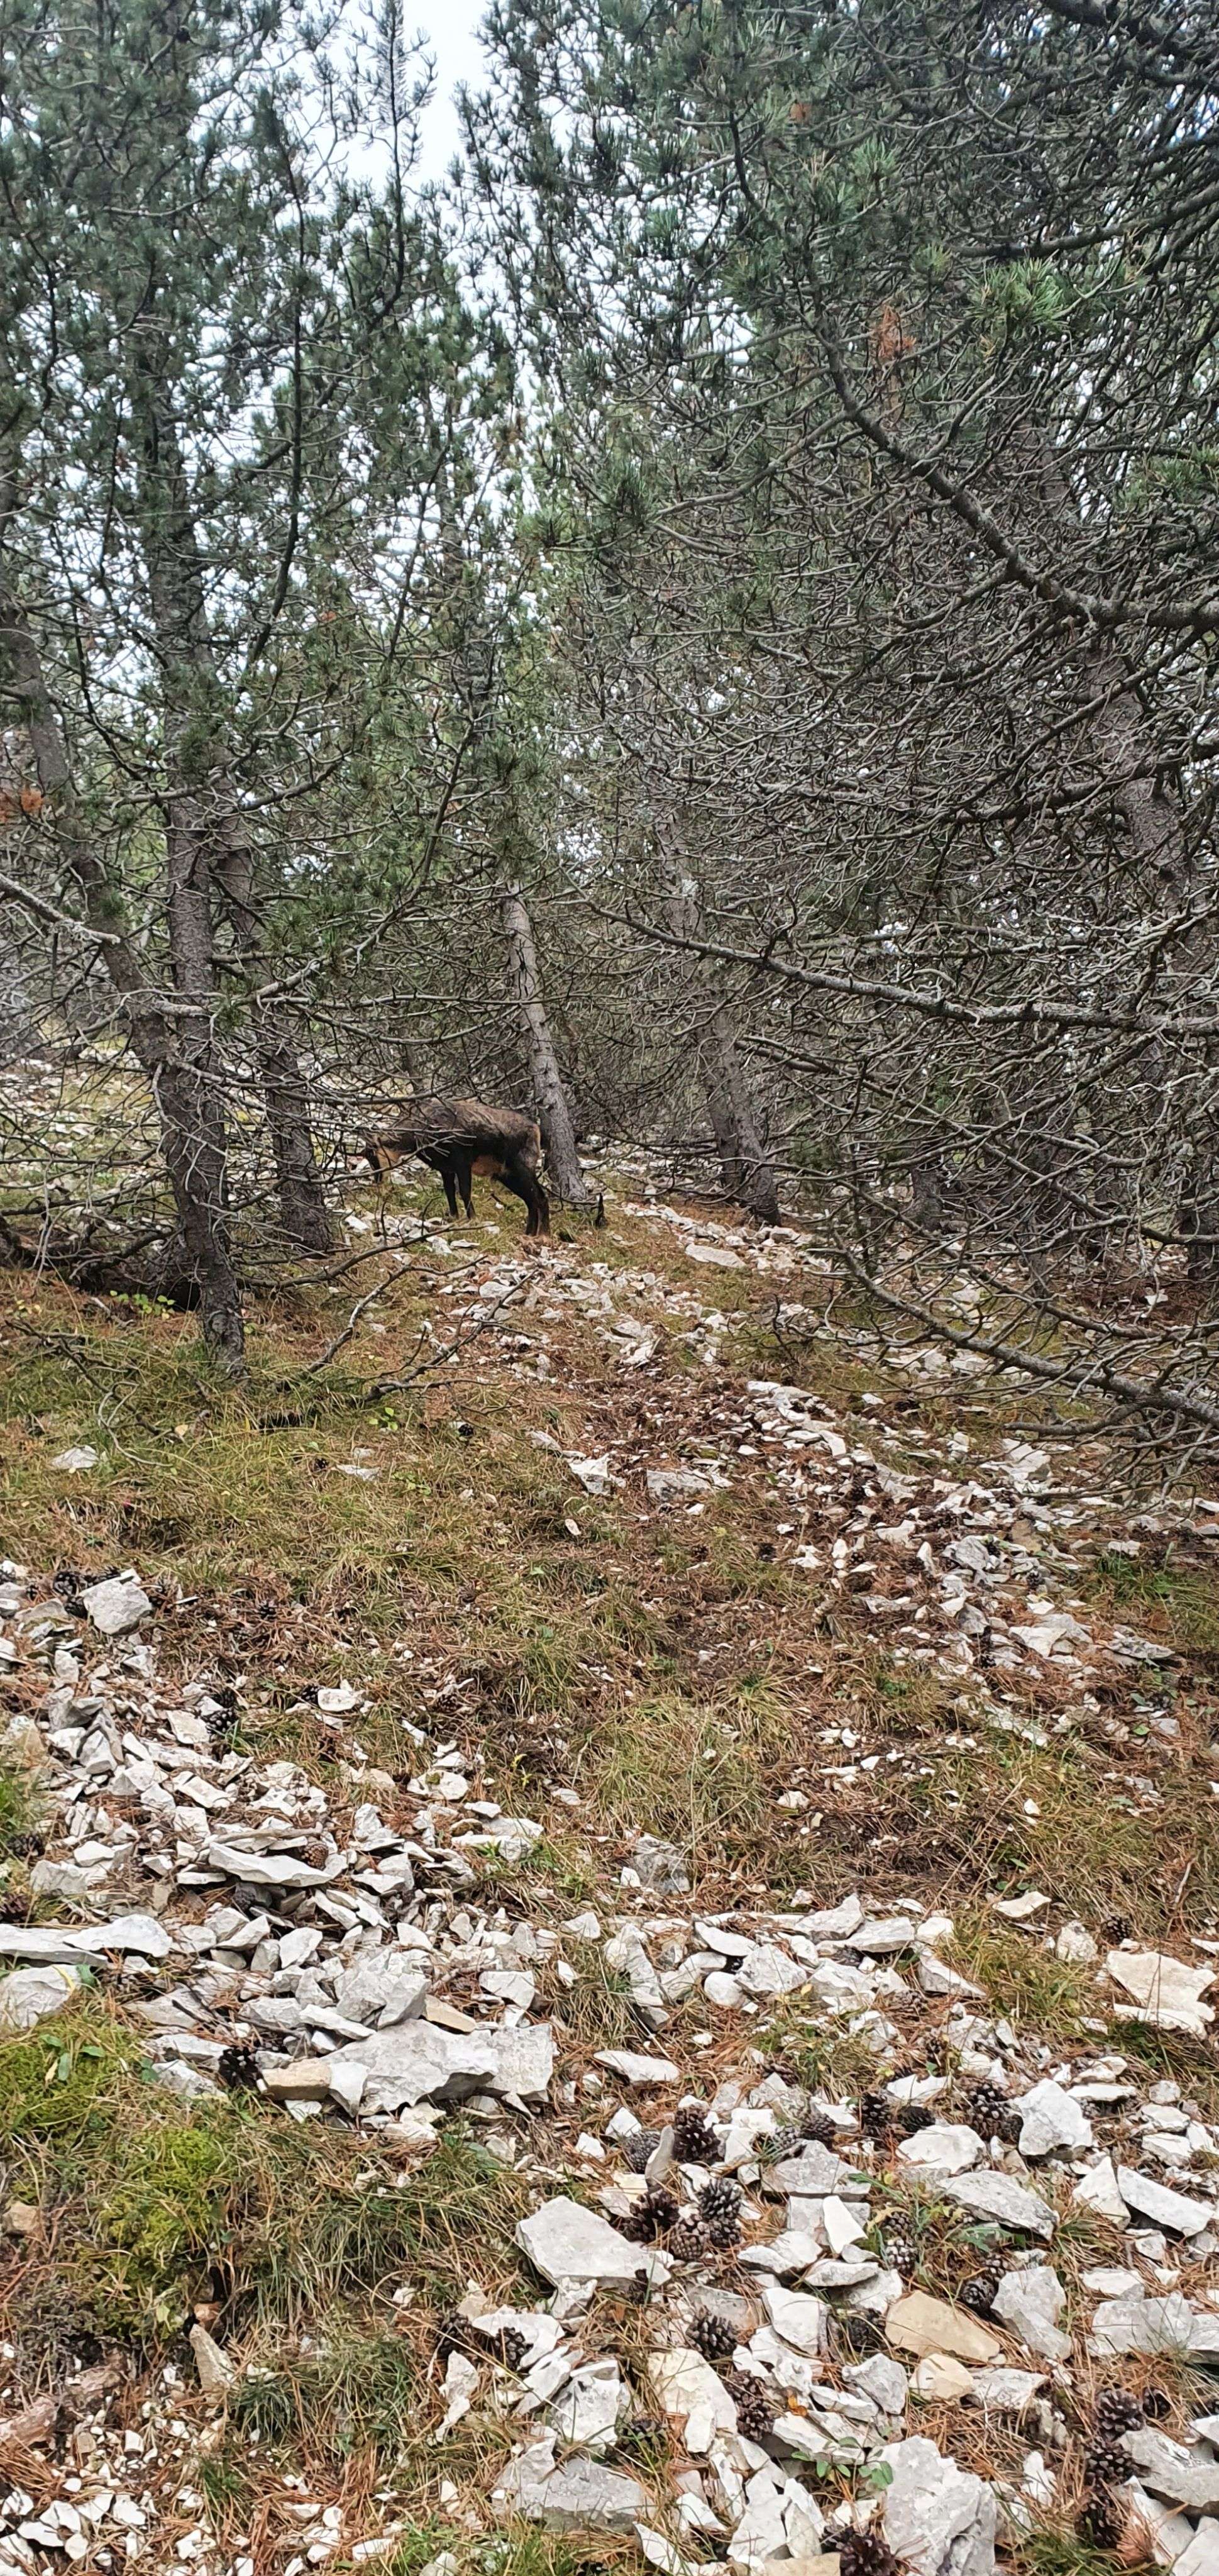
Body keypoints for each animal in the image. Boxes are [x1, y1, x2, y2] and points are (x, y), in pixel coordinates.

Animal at [362, 1094, 551, 1237]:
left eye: (372, 1155)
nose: (378, 1181)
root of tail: (536, 1130)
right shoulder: (446, 1169)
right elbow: (450, 1191)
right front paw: (453, 1216)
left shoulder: (462, 1163)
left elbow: (464, 1191)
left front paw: (472, 1218)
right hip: (507, 1175)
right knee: (531, 1200)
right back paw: (529, 1233)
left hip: (521, 1169)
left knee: (540, 1197)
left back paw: (543, 1235)